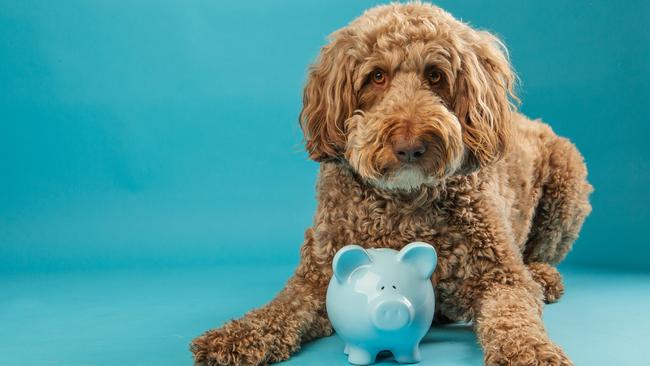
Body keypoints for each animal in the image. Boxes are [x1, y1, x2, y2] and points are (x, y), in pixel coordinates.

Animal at [190, 2, 588, 366]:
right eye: (376, 76)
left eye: (435, 75)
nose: (410, 146)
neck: (402, 202)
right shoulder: (316, 277)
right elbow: (282, 308)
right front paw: (237, 335)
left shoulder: (500, 277)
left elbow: (513, 318)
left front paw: (531, 352)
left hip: (568, 180)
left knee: (538, 254)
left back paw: (542, 276)